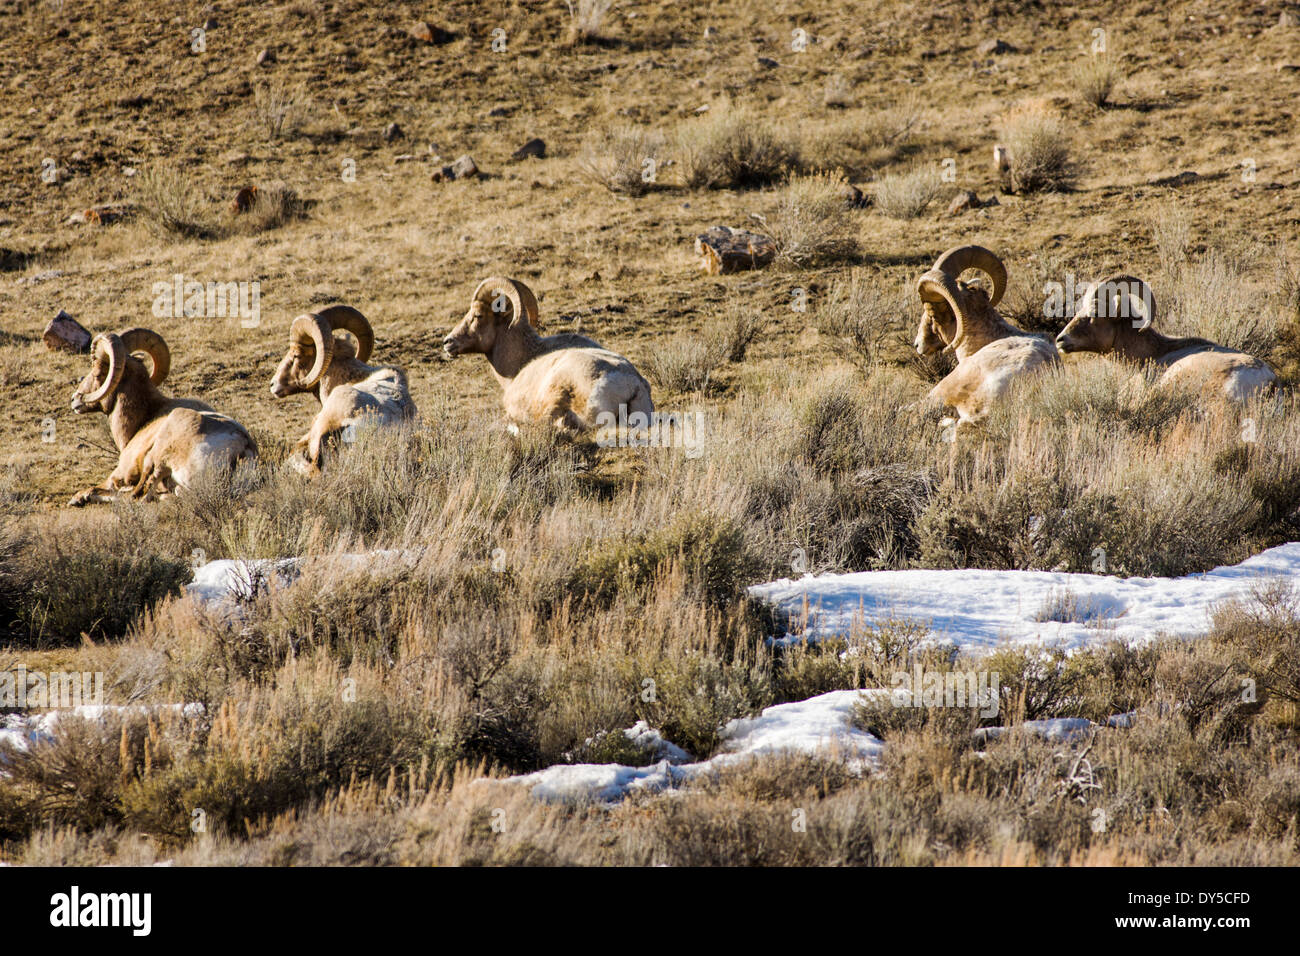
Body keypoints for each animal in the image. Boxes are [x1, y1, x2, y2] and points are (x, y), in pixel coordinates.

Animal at [68, 327, 256, 509]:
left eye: (97, 373)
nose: (74, 399)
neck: (143, 419)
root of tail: (242, 448)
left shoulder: (121, 473)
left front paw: (78, 498)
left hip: (158, 457)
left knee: (138, 496)